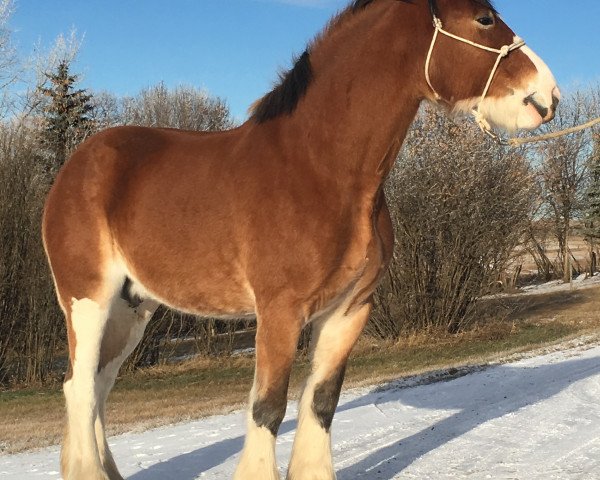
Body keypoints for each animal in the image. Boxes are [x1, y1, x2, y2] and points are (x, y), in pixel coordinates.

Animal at [41, 0, 556, 480]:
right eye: (485, 19)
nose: (547, 96)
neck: (318, 167)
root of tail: (74, 168)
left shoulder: (349, 309)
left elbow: (322, 401)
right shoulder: (280, 311)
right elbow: (268, 408)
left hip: (133, 307)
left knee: (98, 386)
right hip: (89, 301)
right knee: (80, 387)